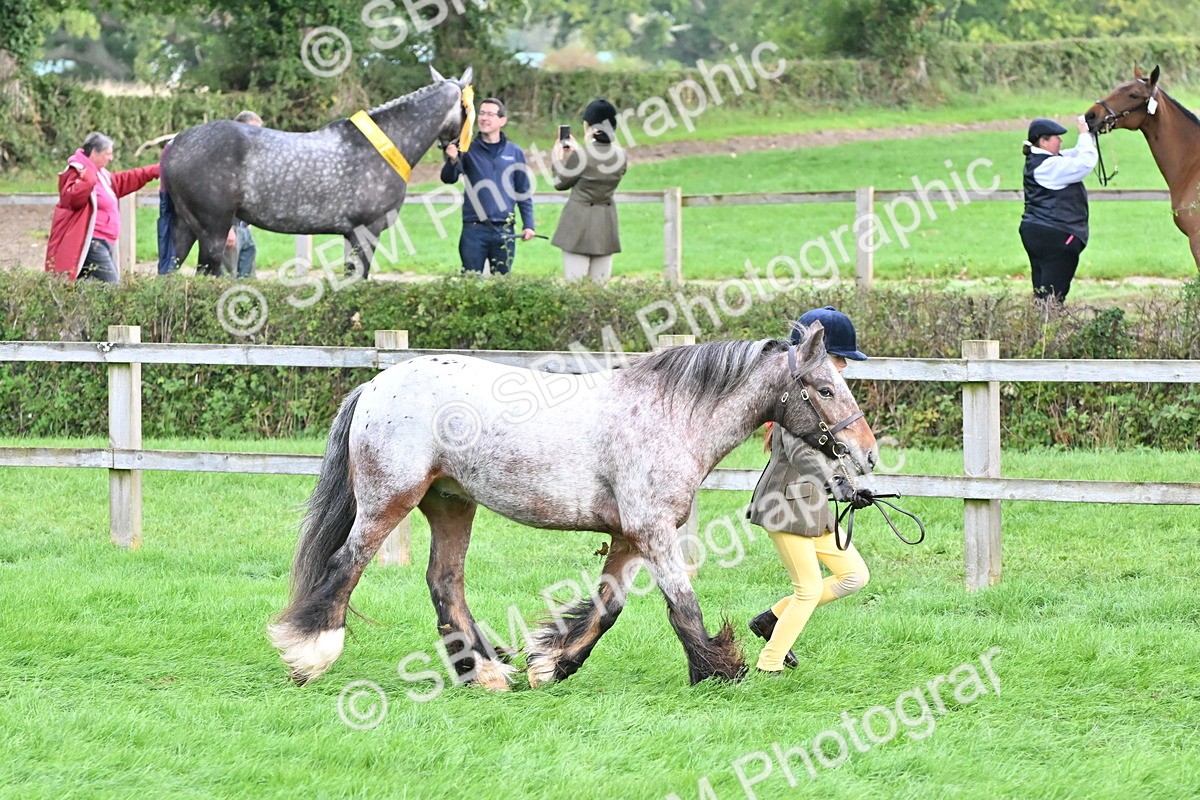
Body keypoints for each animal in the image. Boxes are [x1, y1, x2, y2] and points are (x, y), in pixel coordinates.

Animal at [162, 66, 473, 278]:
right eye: (467, 110)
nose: (456, 154)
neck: (382, 147)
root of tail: (178, 142)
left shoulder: (350, 235)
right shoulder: (366, 230)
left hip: (185, 228)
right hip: (213, 231)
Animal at [268, 325, 879, 690]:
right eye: (825, 389)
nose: (867, 454)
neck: (671, 416)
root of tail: (376, 385)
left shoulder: (630, 538)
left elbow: (607, 609)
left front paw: (550, 664)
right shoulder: (654, 532)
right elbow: (683, 605)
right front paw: (718, 670)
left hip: (450, 504)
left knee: (444, 581)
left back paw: (485, 672)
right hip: (389, 501)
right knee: (346, 567)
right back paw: (310, 656)